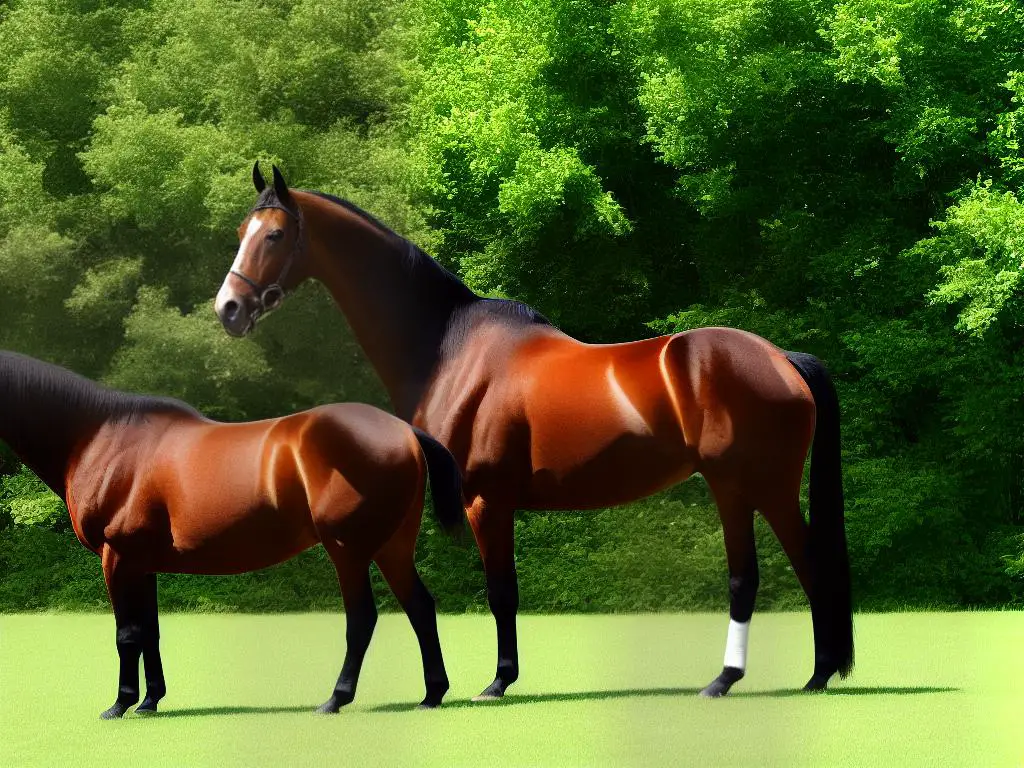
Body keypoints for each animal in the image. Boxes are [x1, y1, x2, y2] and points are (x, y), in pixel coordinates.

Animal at [0, 352, 464, 720]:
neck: (100, 438)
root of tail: (404, 432)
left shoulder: (117, 558)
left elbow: (127, 633)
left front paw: (120, 704)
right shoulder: (141, 565)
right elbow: (150, 631)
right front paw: (150, 702)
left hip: (348, 551)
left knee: (363, 619)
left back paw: (335, 699)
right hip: (392, 547)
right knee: (420, 607)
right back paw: (432, 695)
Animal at [211, 162, 851, 704]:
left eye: (274, 235)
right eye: (243, 229)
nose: (229, 308)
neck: (448, 349)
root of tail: (782, 359)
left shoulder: (485, 499)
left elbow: (500, 591)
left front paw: (496, 683)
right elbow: (506, 590)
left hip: (745, 486)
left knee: (765, 573)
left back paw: (736, 680)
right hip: (756, 488)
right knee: (802, 564)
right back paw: (814, 675)